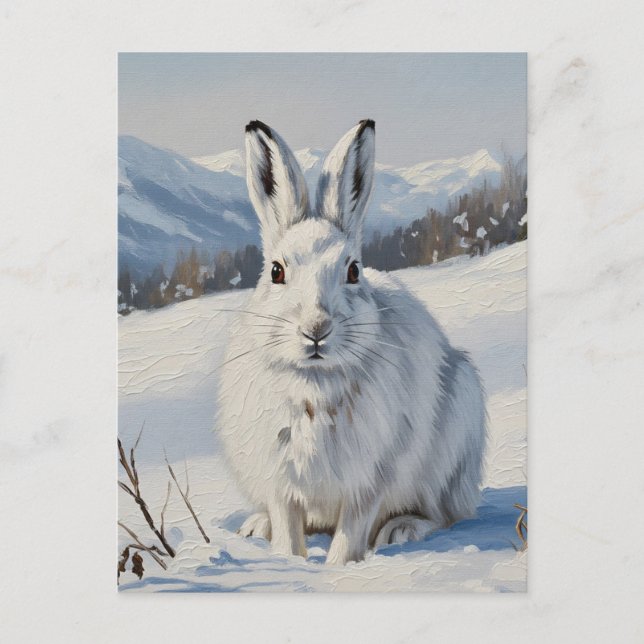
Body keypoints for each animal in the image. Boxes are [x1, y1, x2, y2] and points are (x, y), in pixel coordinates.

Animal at [217, 119, 486, 566]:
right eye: (275, 271)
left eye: (354, 271)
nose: (316, 328)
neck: (314, 382)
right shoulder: (280, 480)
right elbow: (288, 528)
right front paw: (289, 562)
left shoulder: (370, 476)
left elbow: (351, 531)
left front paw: (340, 568)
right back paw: (256, 526)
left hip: (451, 450)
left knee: (445, 513)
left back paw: (402, 530)